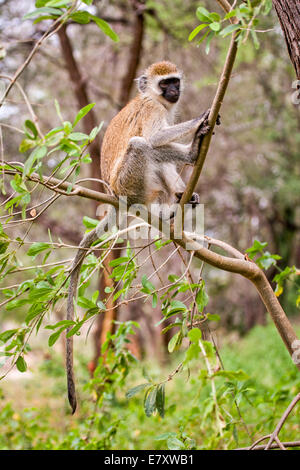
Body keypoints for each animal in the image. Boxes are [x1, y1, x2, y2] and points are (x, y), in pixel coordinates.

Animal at [67, 59, 218, 412]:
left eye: (175, 81)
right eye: (166, 84)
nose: (175, 91)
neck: (154, 98)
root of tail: (115, 196)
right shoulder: (152, 109)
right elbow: (156, 136)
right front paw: (198, 123)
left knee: (155, 154)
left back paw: (179, 196)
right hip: (131, 182)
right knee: (144, 145)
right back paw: (187, 163)